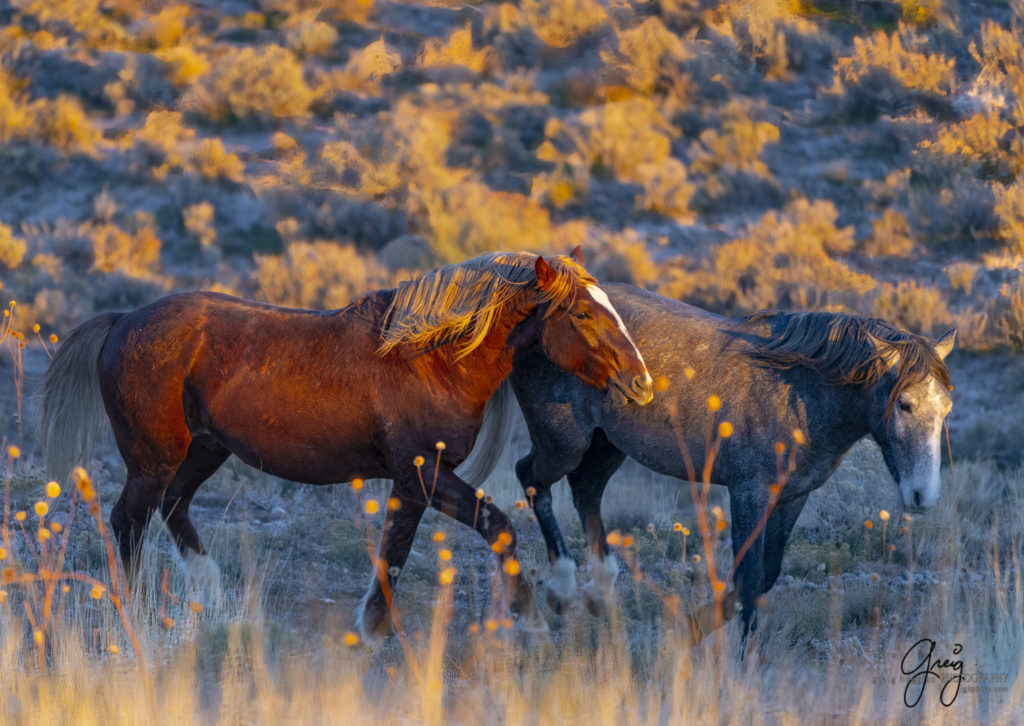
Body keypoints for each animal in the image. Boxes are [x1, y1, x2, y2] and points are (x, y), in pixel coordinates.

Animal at [41, 250, 655, 638]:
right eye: (582, 312)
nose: (642, 383)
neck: (430, 358)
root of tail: (125, 321)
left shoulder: (411, 483)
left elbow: (394, 552)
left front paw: (372, 627)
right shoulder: (425, 475)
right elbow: (494, 525)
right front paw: (530, 620)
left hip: (205, 450)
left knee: (173, 508)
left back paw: (215, 599)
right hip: (154, 458)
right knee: (128, 520)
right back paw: (136, 608)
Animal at [516, 286, 954, 638]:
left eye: (946, 407)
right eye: (905, 403)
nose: (923, 495)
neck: (799, 393)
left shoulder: (791, 497)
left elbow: (764, 576)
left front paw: (688, 631)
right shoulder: (749, 494)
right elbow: (748, 579)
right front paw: (743, 663)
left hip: (607, 445)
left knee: (585, 492)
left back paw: (600, 595)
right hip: (565, 442)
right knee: (532, 478)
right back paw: (562, 589)